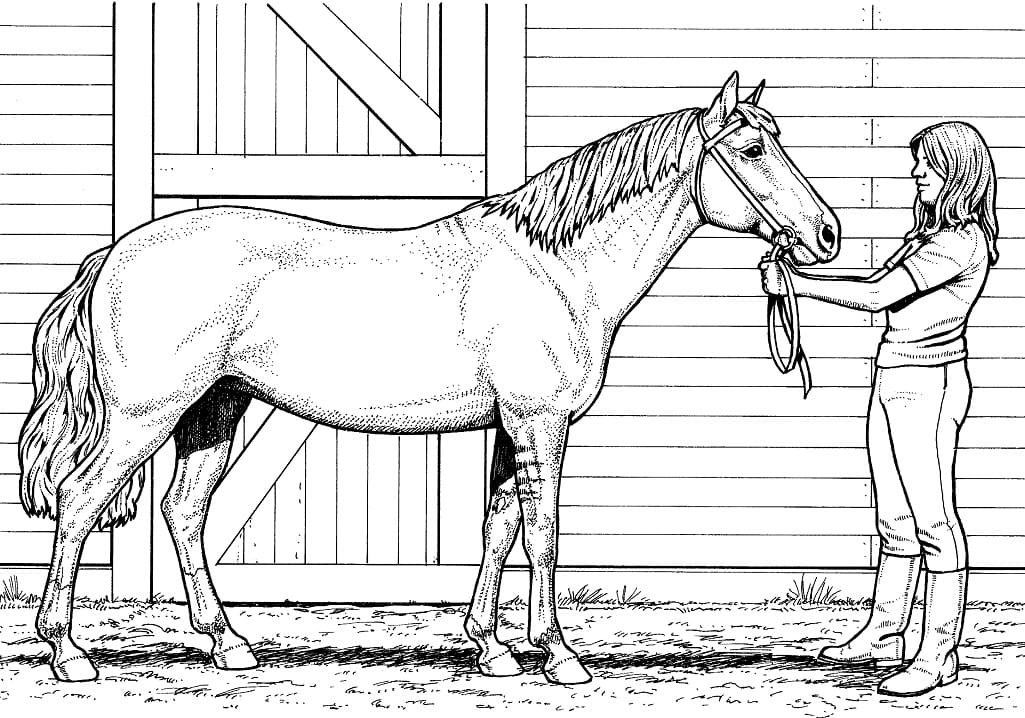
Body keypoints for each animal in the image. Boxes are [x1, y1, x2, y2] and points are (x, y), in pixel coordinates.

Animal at [19, 72, 839, 684]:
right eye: (752, 147)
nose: (826, 234)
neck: (557, 268)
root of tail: (114, 255)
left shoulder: (510, 428)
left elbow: (500, 528)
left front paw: (493, 647)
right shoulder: (539, 423)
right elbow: (543, 534)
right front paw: (560, 656)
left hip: (214, 410)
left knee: (184, 512)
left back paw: (228, 645)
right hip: (143, 417)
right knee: (81, 501)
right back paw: (69, 652)